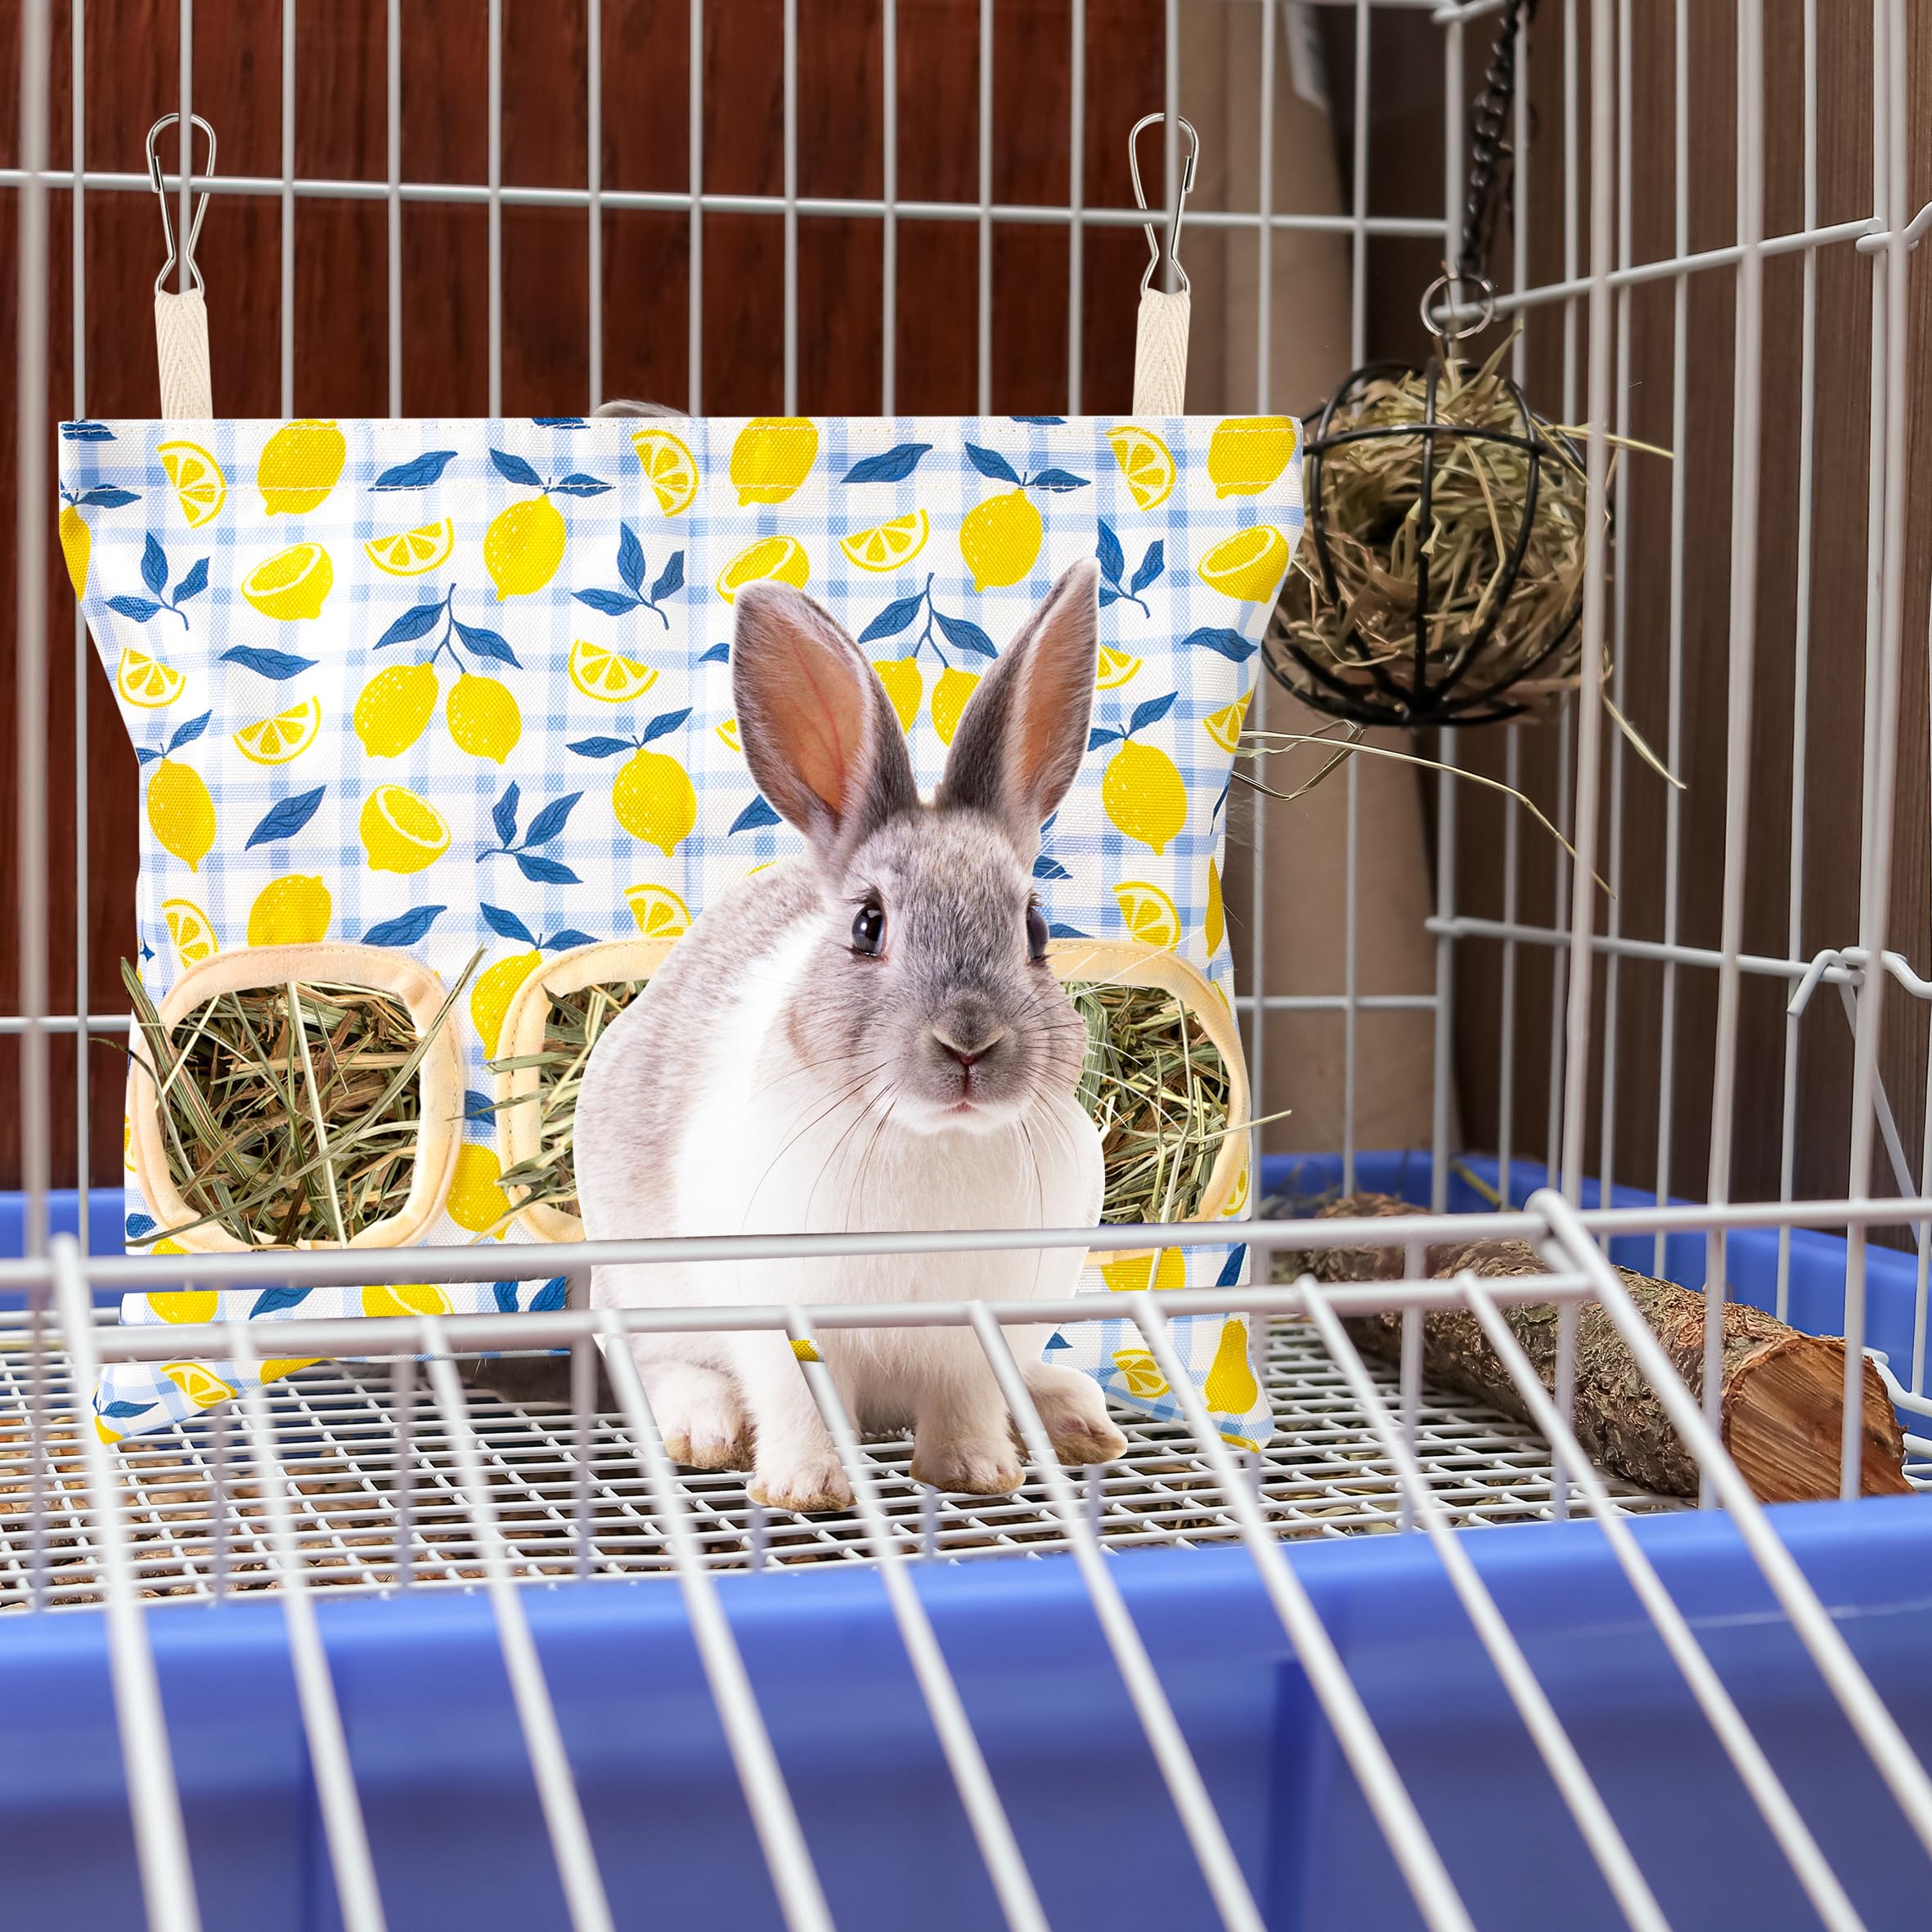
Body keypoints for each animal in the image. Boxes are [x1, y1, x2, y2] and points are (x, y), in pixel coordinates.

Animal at [572, 558, 1127, 1512]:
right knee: (658, 1364)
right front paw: (804, 1489)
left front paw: (977, 1474)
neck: (932, 1139)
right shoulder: (778, 1319)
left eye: (1034, 929)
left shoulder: (977, 1330)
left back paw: (1076, 1418)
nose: (968, 1043)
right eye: (869, 926)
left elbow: (966, 1404)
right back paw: (705, 1430)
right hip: (642, 1288)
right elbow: (794, 1403)